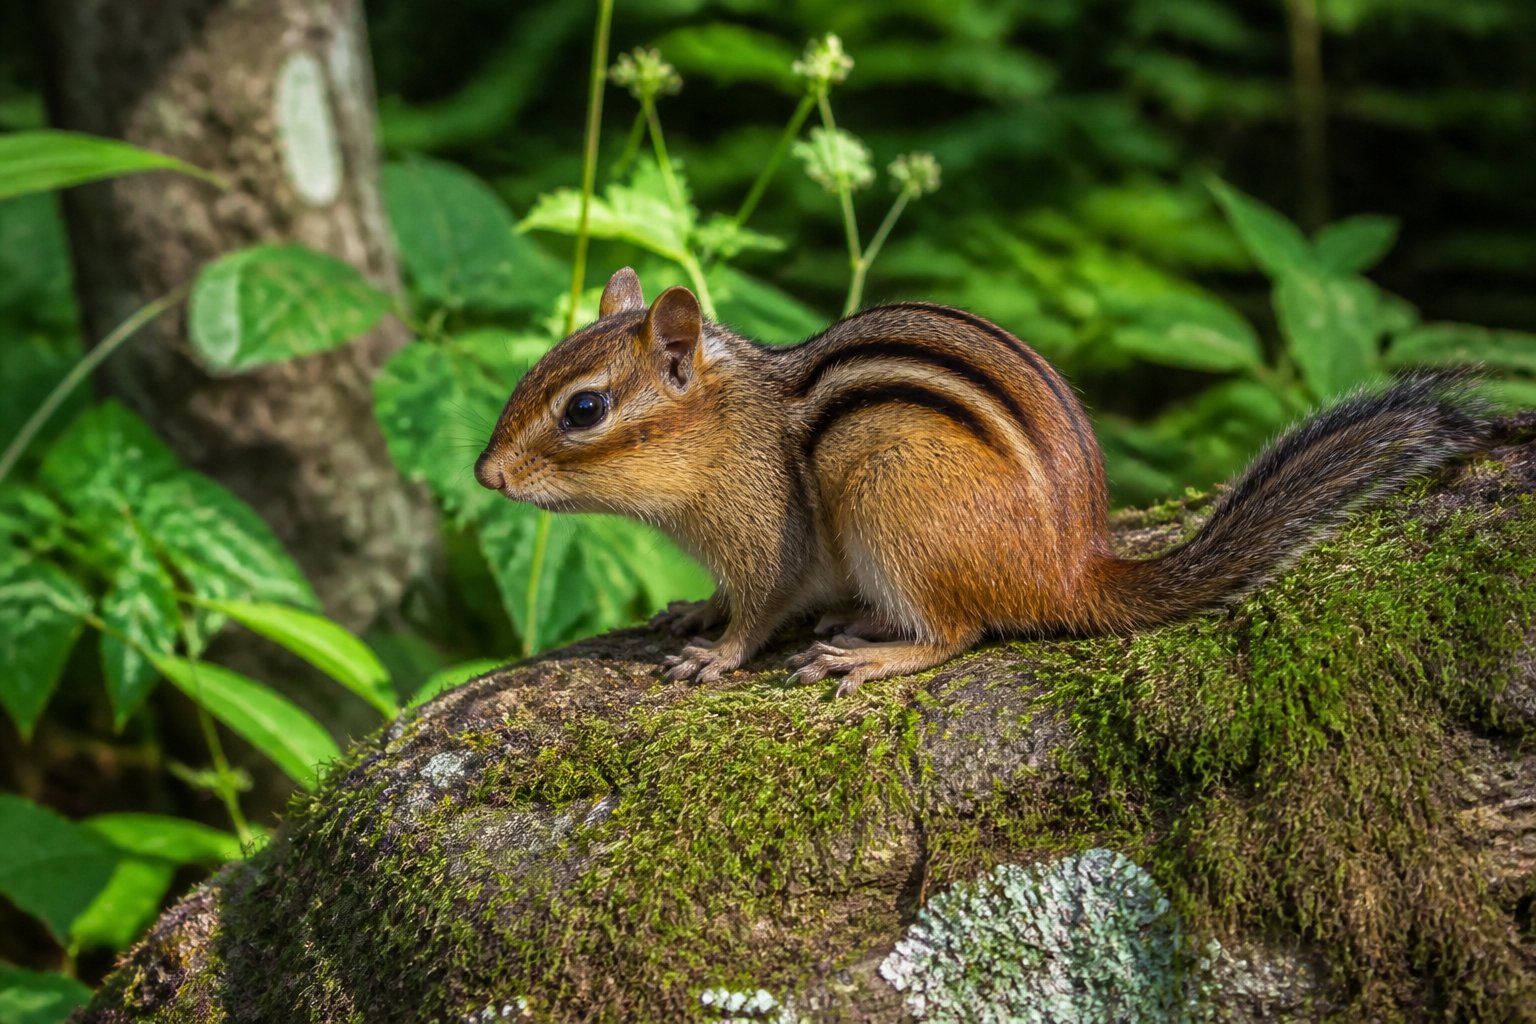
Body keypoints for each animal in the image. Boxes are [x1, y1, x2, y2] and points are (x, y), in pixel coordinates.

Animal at [475, 267, 1484, 695]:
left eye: (584, 410)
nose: (486, 473)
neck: (728, 428)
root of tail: (1072, 571)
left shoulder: (769, 534)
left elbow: (760, 609)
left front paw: (716, 654)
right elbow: (725, 596)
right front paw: (691, 611)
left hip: (886, 494)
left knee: (960, 632)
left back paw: (874, 652)